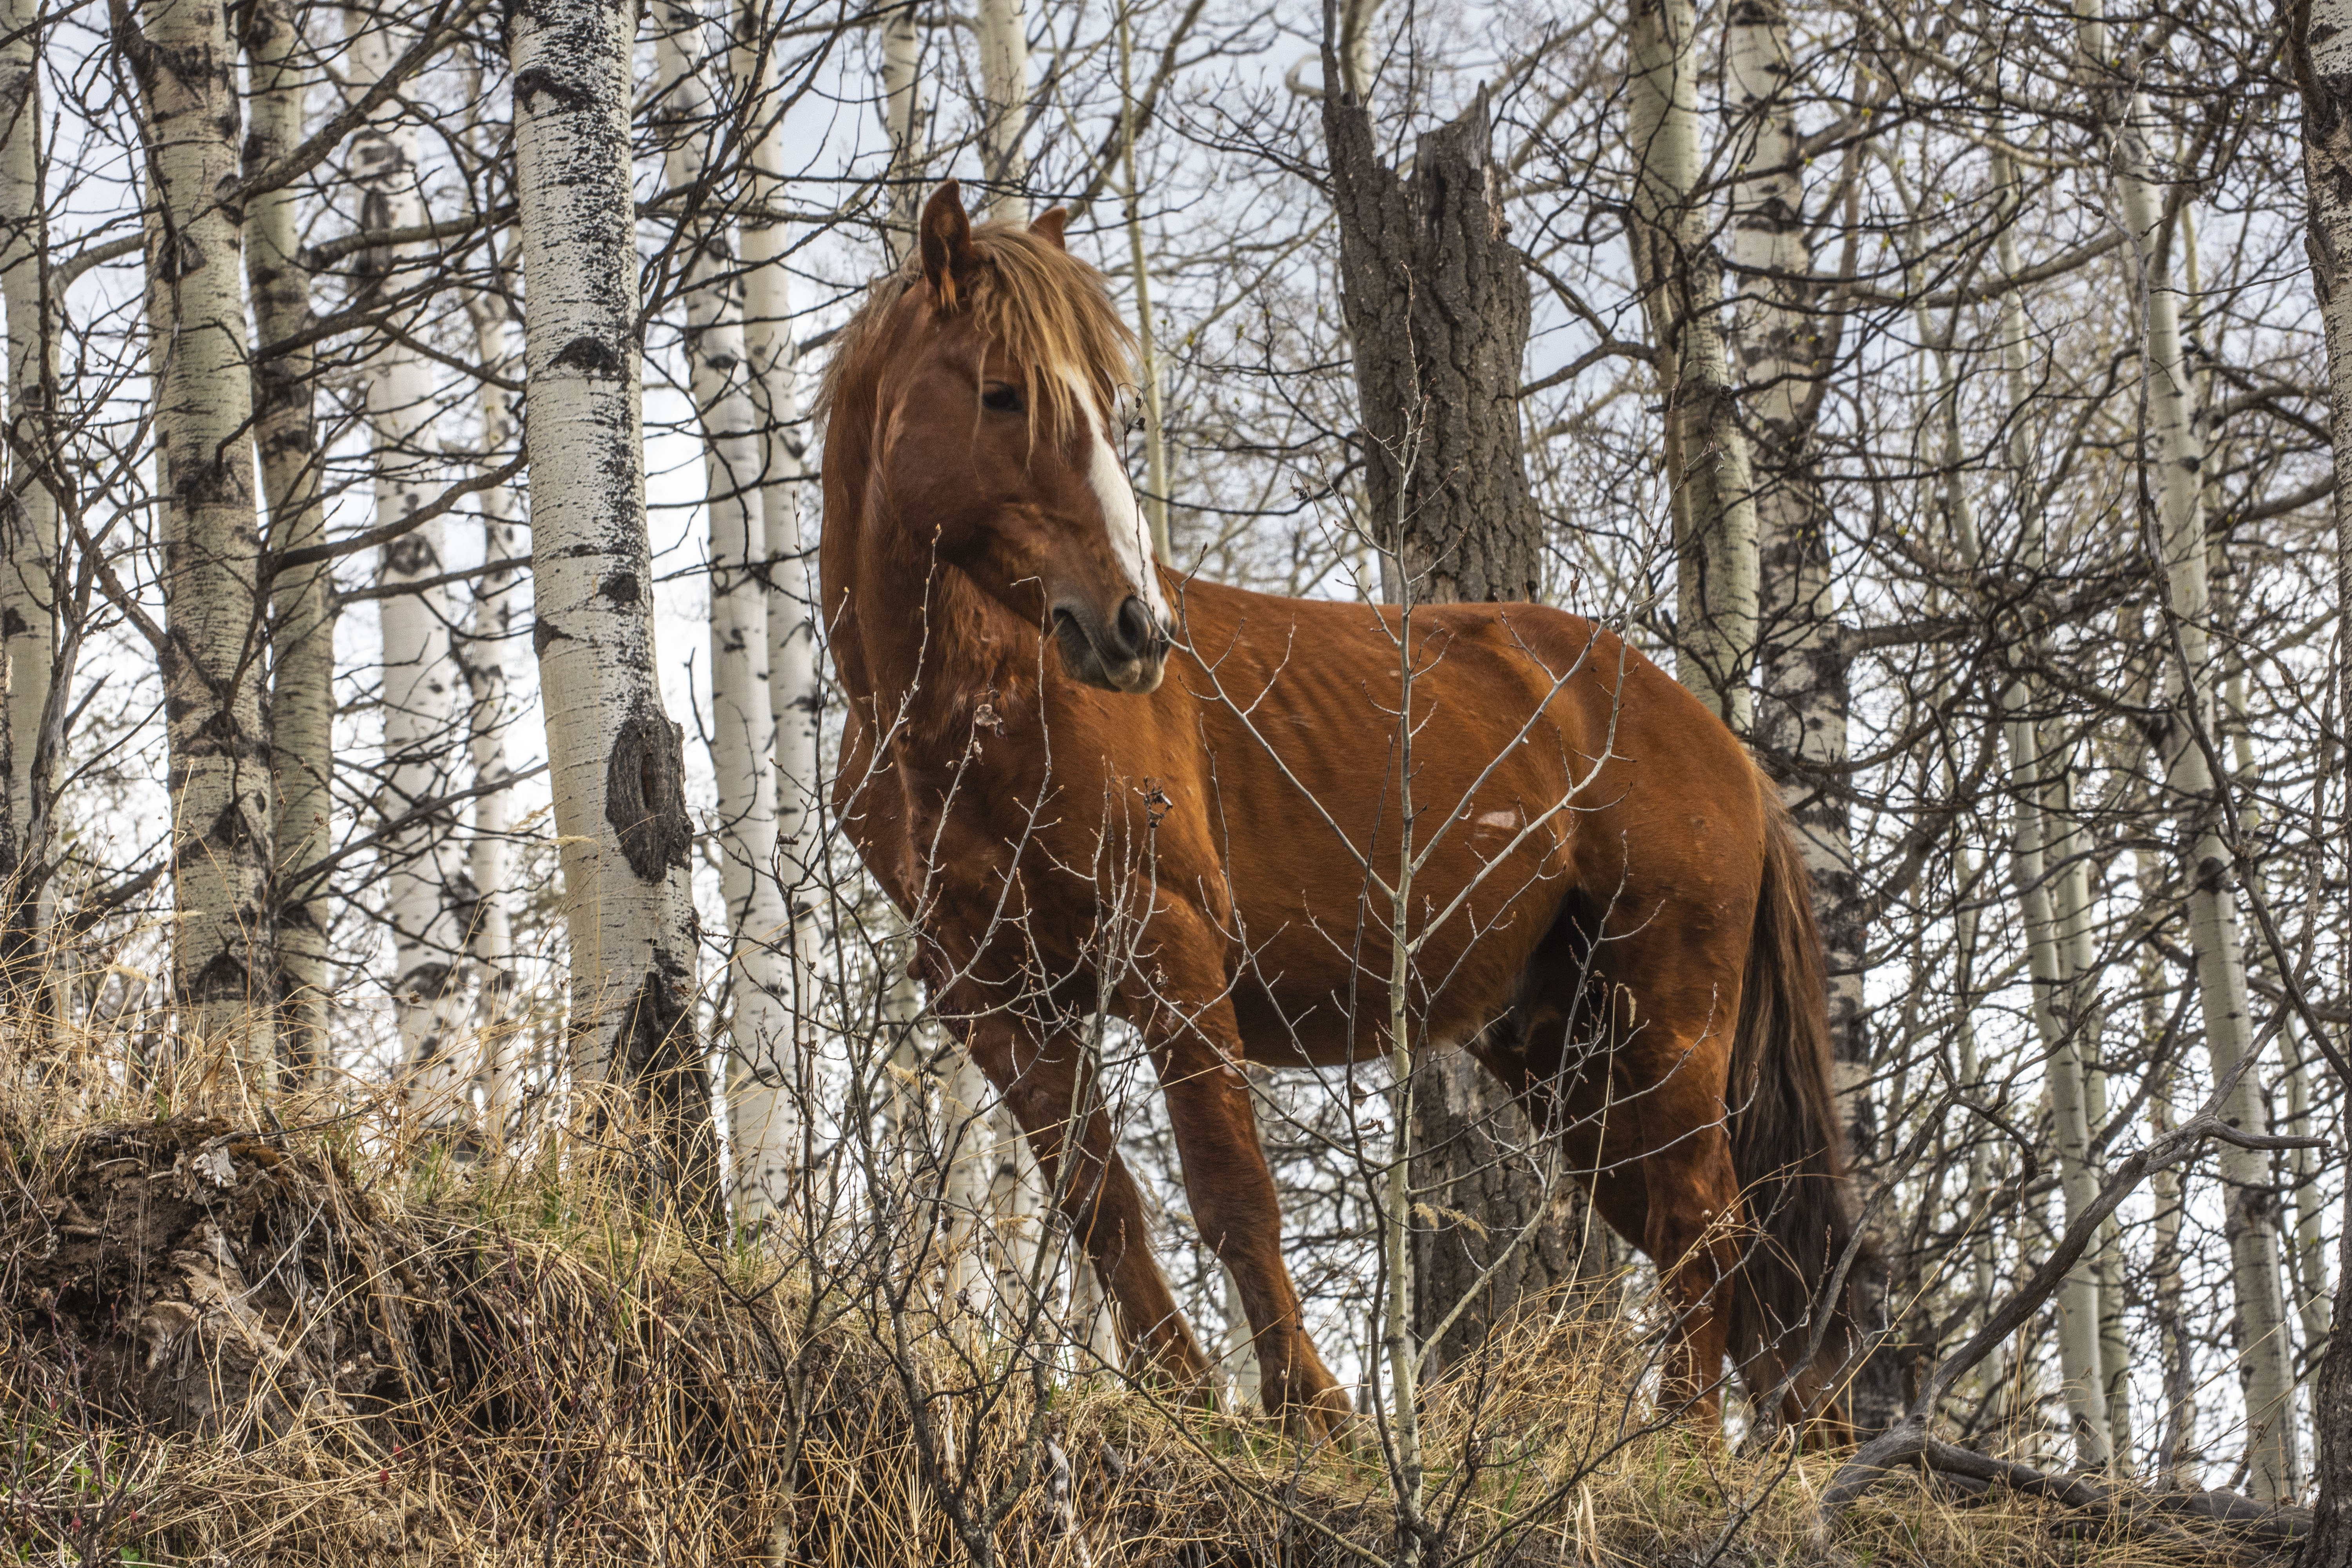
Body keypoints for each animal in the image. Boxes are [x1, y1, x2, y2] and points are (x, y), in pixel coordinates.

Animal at [818, 181, 1863, 1439]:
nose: (1134, 628)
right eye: (1002, 392)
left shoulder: (1172, 951)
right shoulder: (995, 998)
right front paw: (1185, 1393)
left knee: (1710, 1225)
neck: (972, 714)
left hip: (1667, 1021)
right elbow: (1102, 1200)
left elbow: (1231, 1193)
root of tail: (1715, 745)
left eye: (1109, 407)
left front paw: (1308, 1409)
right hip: (1562, 1047)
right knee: (1686, 1232)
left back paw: (1684, 1443)